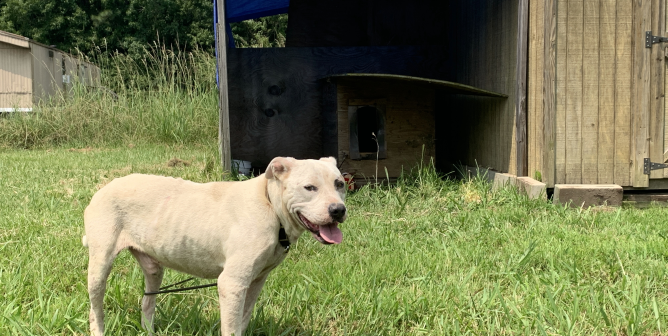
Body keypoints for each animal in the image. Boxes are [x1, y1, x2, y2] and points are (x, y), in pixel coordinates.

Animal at [82, 156, 350, 334]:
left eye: (339, 184)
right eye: (309, 188)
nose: (338, 210)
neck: (270, 206)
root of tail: (103, 188)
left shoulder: (255, 281)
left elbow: (242, 321)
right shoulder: (232, 284)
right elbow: (231, 327)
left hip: (154, 269)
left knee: (147, 301)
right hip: (100, 266)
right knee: (95, 310)